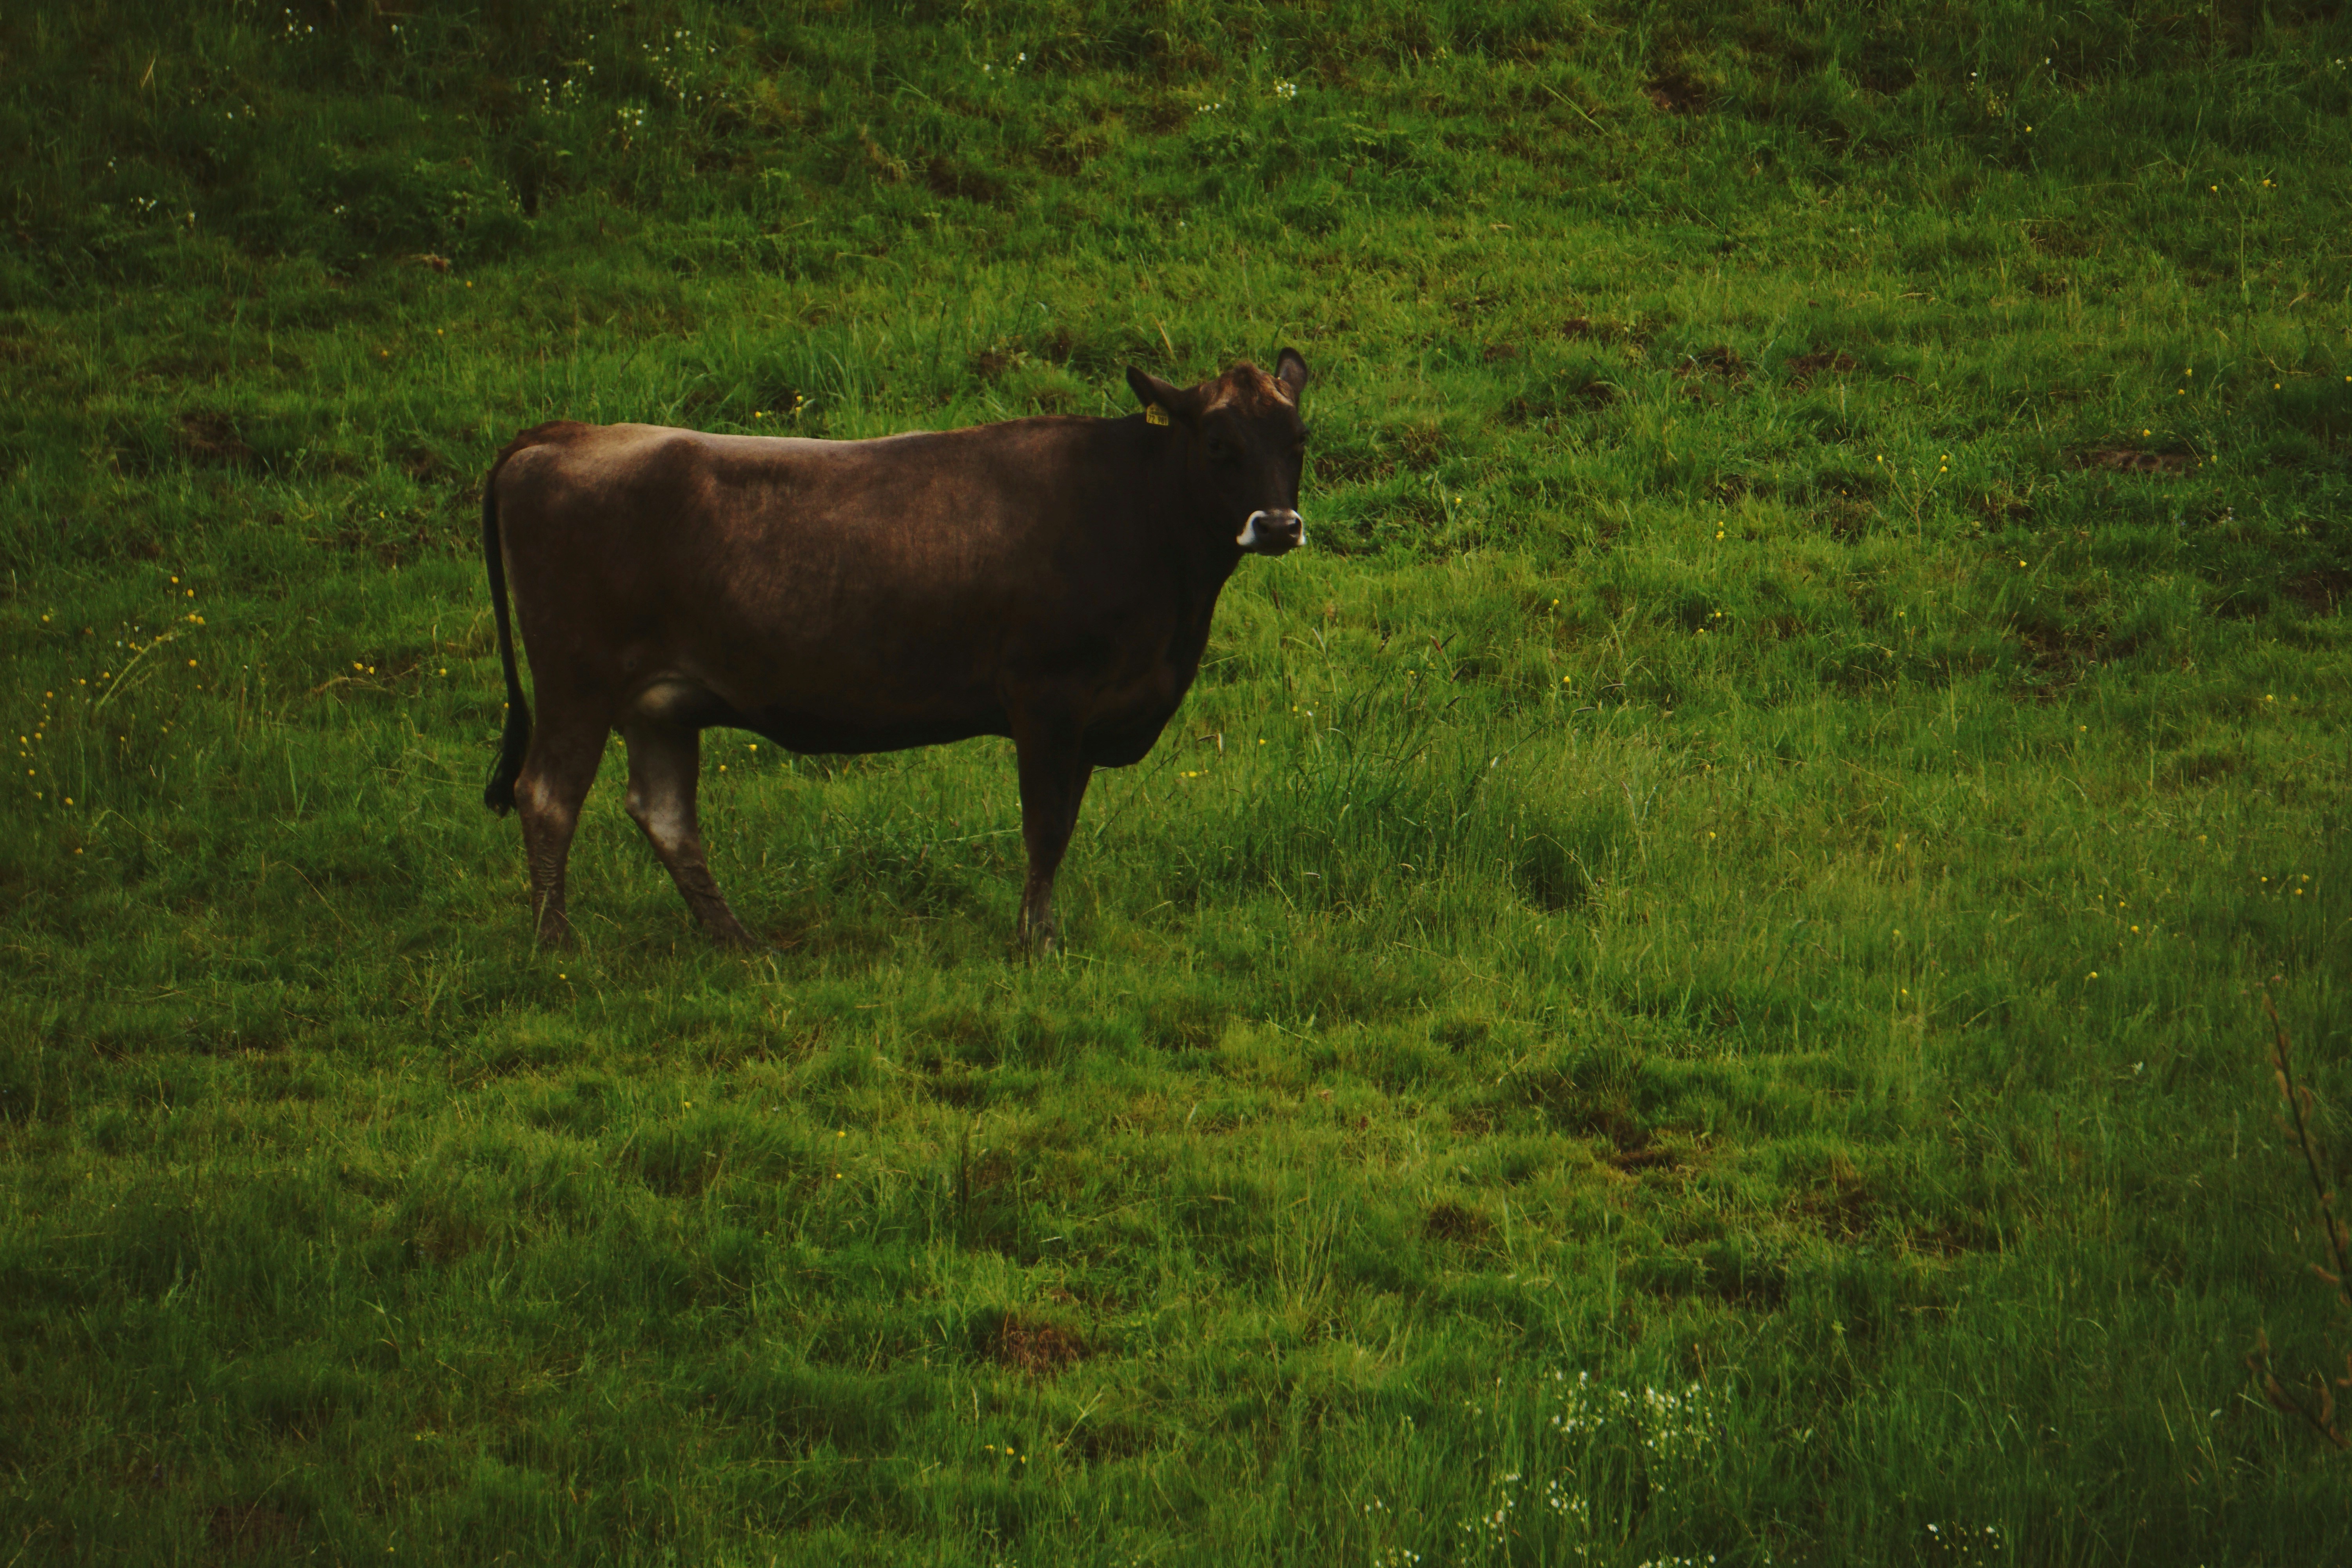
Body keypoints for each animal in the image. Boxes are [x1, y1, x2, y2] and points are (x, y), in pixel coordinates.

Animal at [479, 349, 1310, 953]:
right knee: (547, 795)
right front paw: (1034, 945)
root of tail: (567, 433)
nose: (1276, 525)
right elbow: (1046, 827)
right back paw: (557, 947)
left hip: (661, 704)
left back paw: (738, 943)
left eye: (1299, 440)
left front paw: (1040, 933)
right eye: (1219, 444)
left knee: (664, 813)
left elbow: (1062, 826)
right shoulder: (1049, 697)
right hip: (577, 680)